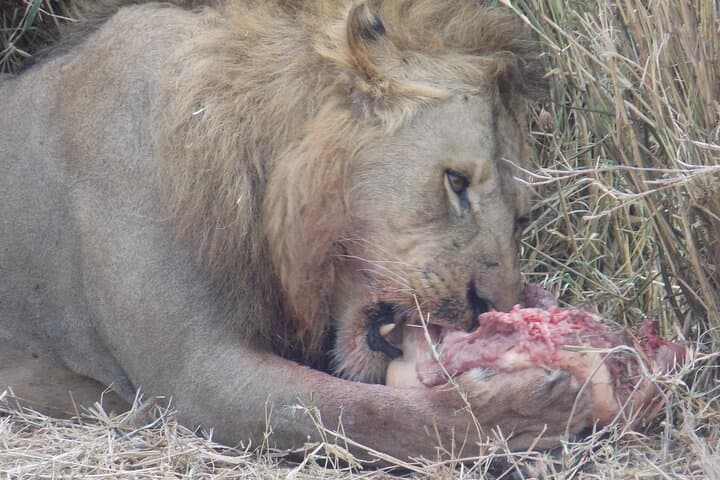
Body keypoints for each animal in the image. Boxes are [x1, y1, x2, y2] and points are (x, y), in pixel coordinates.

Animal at [0, 0, 594, 458]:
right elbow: (354, 411)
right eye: (455, 182)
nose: (487, 307)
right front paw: (524, 411)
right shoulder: (192, 375)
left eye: (521, 219)